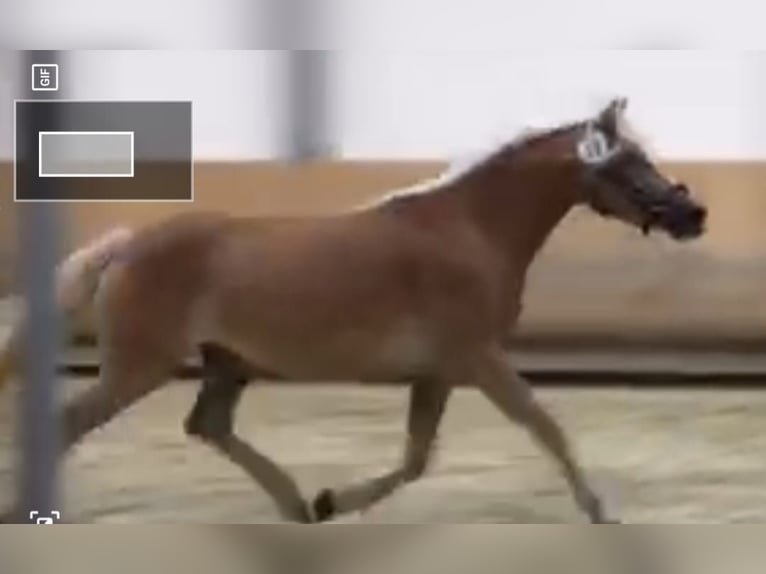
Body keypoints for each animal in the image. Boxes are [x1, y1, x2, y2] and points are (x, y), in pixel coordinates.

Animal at [0, 100, 708, 528]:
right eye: (629, 162)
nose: (691, 214)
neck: (469, 231)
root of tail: (126, 246)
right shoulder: (478, 358)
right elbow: (544, 426)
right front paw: (600, 510)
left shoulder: (439, 372)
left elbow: (417, 459)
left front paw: (333, 498)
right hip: (140, 366)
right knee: (68, 425)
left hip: (226, 364)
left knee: (207, 426)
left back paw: (298, 505)